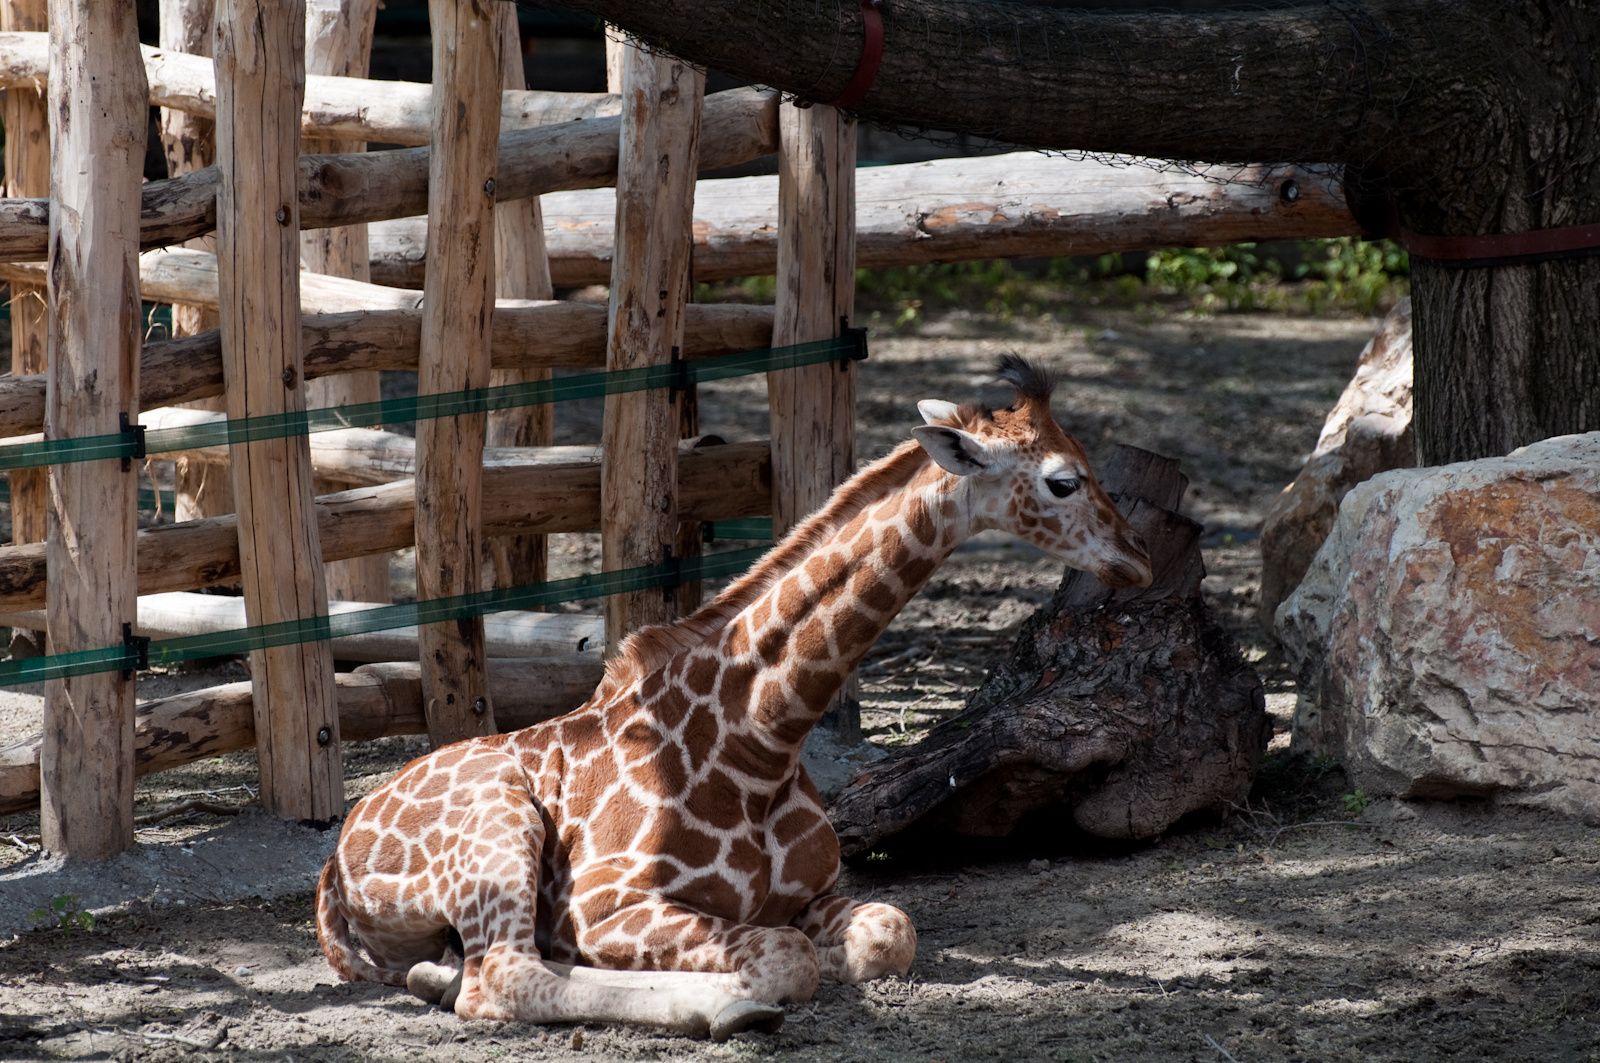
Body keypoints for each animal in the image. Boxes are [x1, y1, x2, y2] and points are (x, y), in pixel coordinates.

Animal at [315, 357, 1152, 1037]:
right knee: (503, 977)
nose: (1137, 557)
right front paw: (741, 983)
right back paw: (717, 1005)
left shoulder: (819, 891)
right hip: (499, 825)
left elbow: (887, 932)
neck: (763, 740)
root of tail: (333, 868)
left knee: (477, 969)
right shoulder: (606, 905)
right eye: (1064, 478)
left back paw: (438, 969)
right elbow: (786, 957)